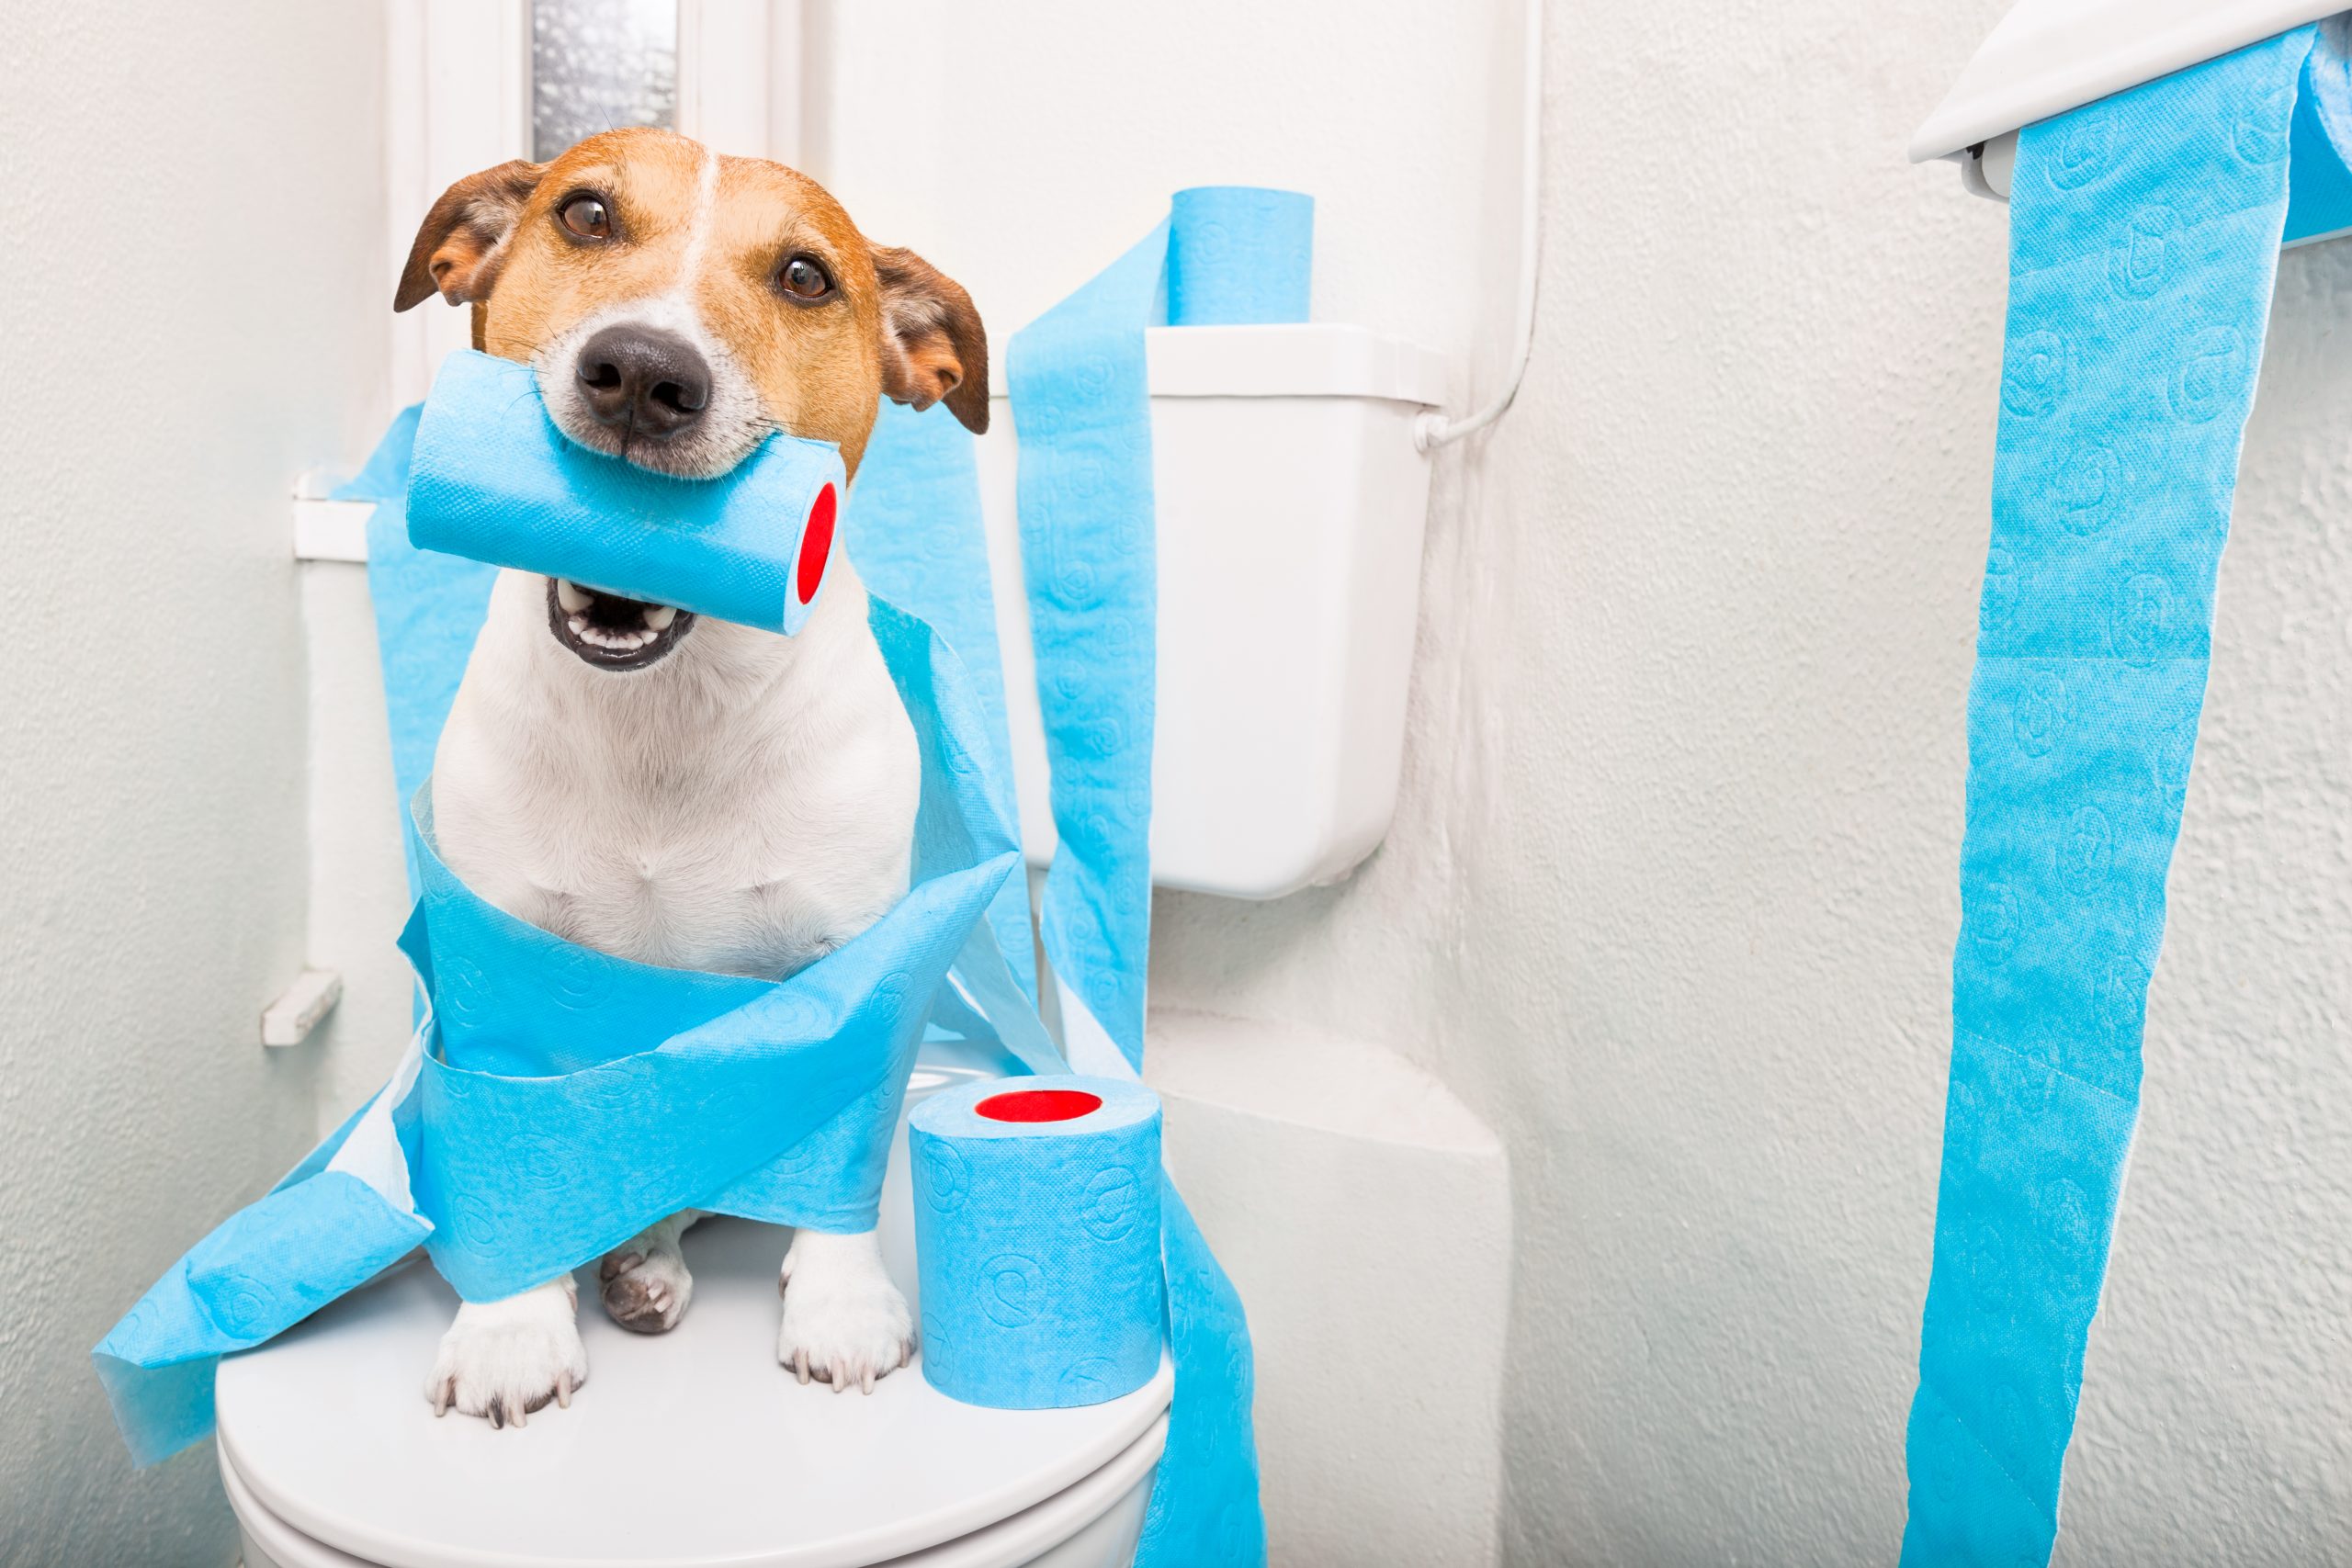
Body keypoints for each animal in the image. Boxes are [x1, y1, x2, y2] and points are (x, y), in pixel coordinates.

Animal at [400, 129, 988, 1429]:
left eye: (807, 278)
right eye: (585, 214)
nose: (642, 373)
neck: (662, 717)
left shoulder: (848, 958)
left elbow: (835, 1146)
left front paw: (840, 1308)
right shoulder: (495, 956)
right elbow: (515, 1160)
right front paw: (513, 1328)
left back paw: (651, 1262)